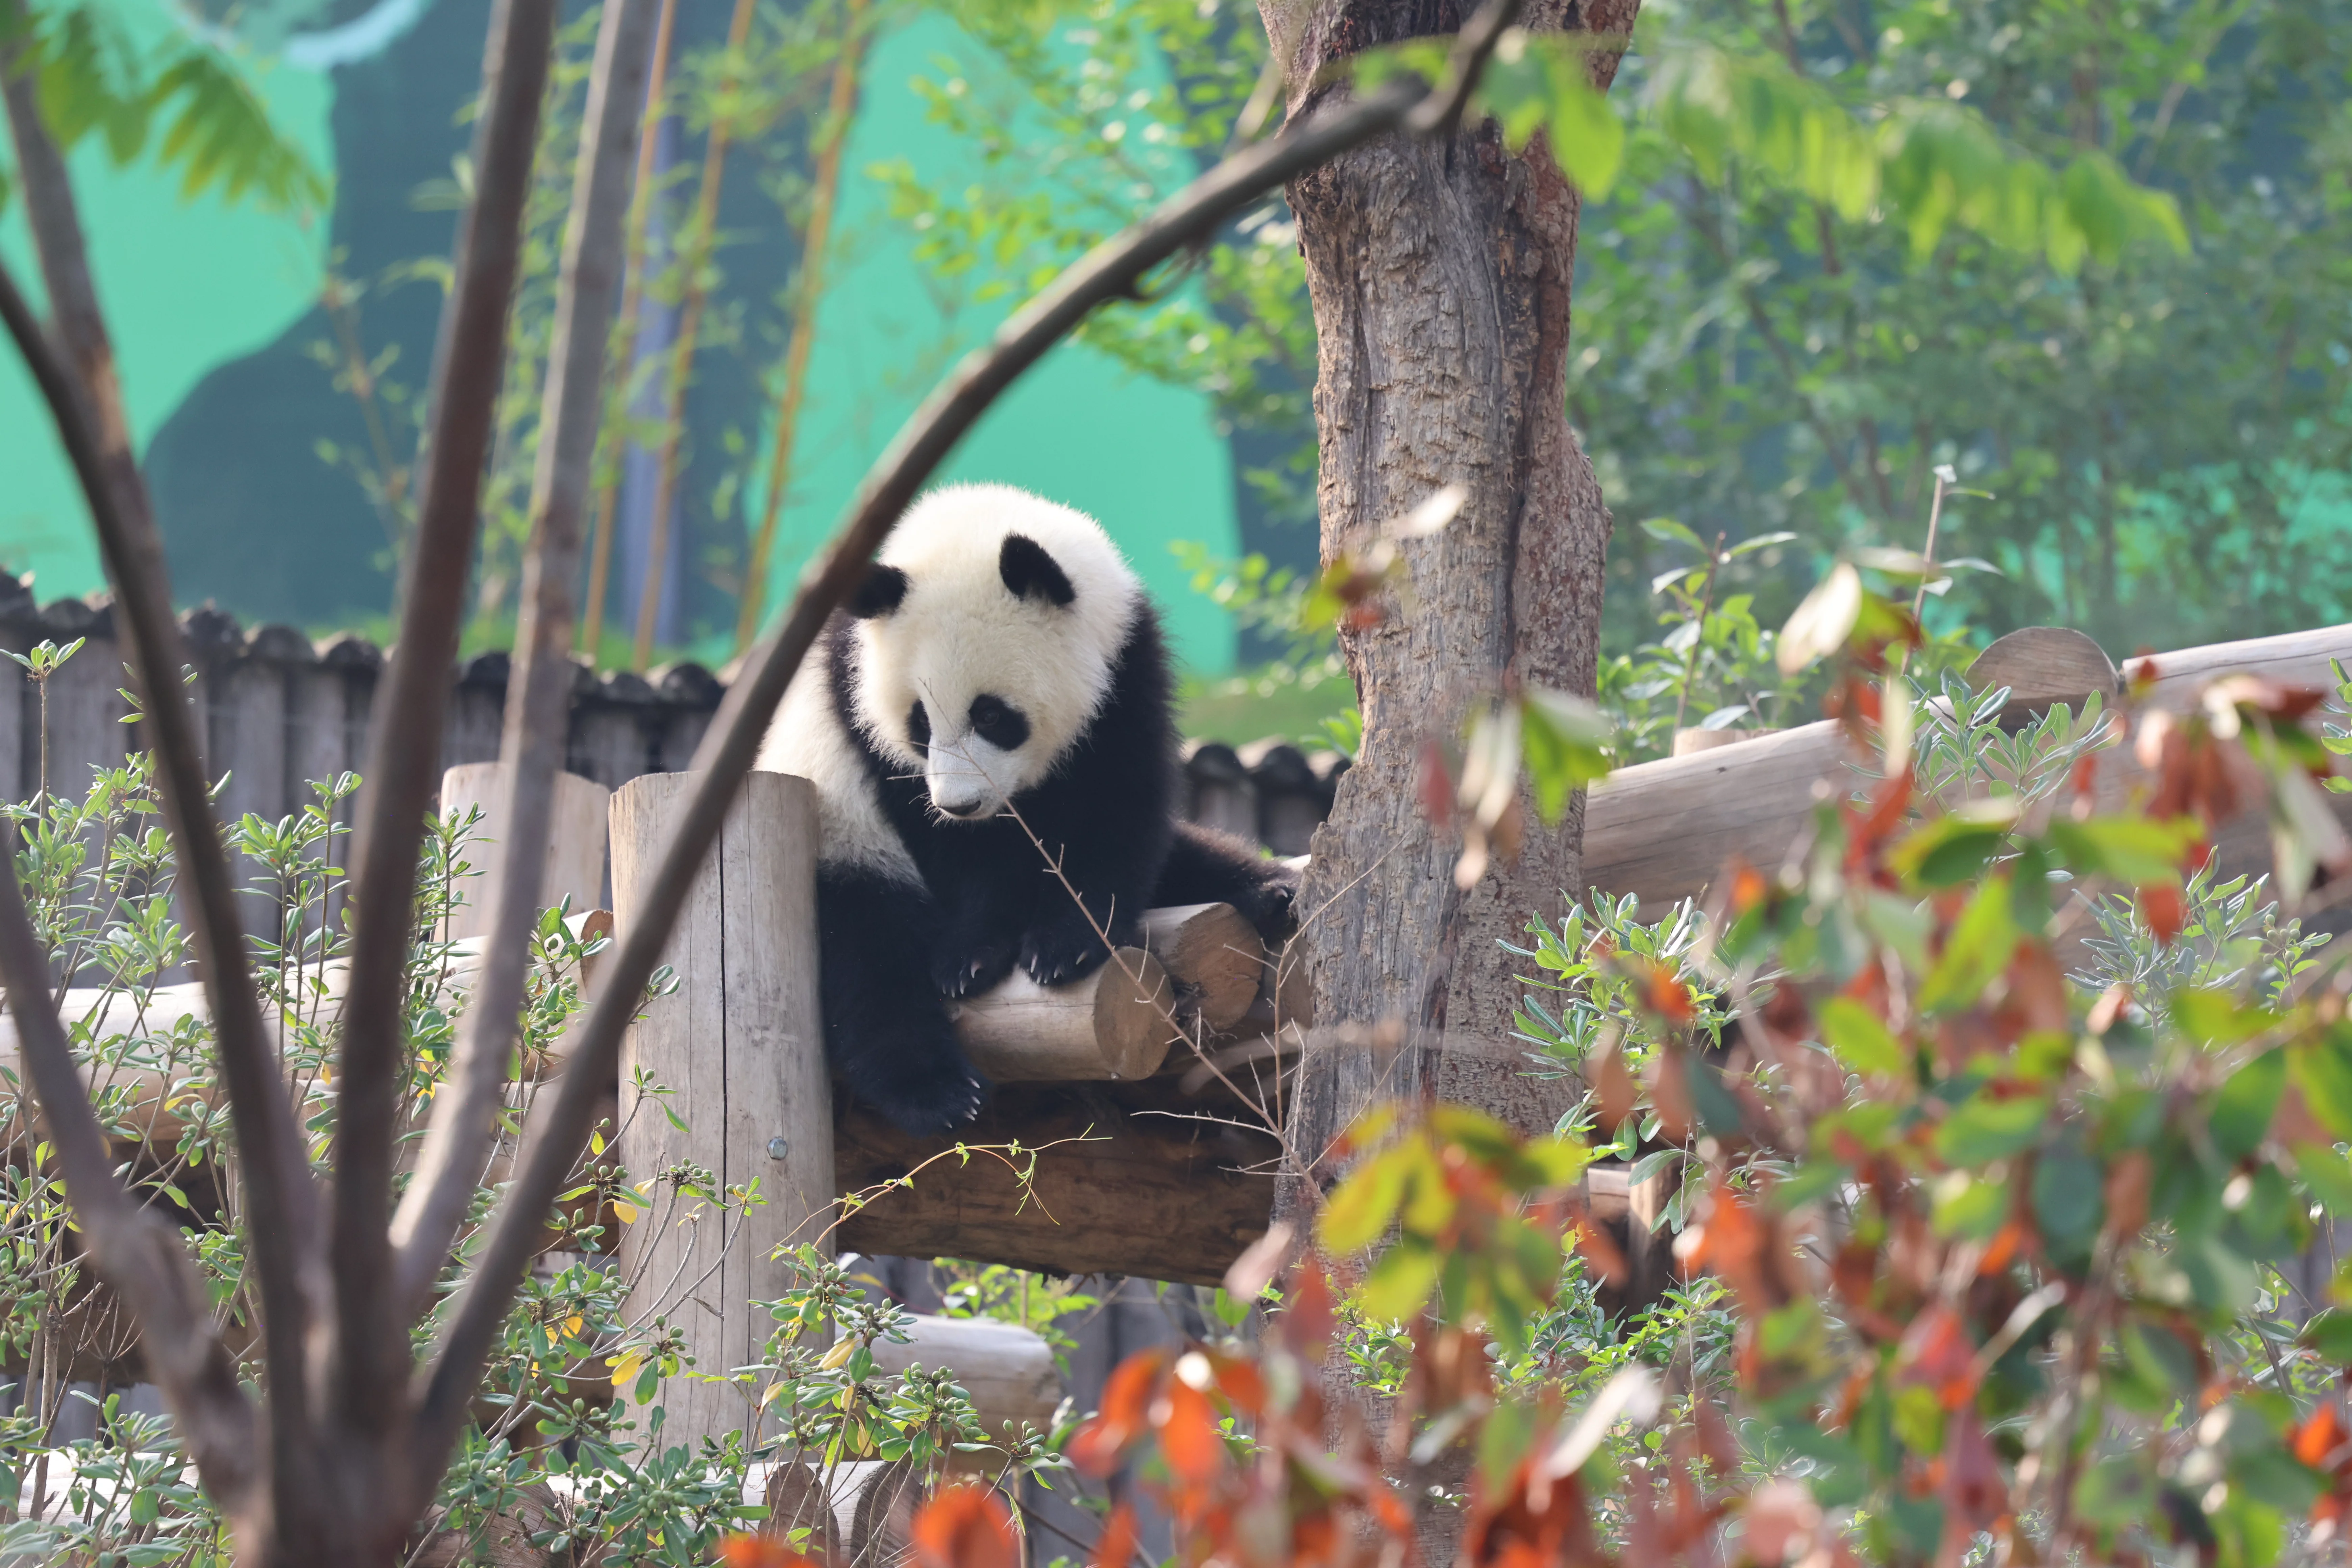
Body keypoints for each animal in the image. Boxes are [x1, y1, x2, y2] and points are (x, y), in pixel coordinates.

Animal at [756, 483, 1301, 1135]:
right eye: (920, 723)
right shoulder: (861, 717)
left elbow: (1118, 809)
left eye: (991, 714)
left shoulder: (1124, 673)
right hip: (841, 836)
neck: (969, 523)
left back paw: (1269, 894)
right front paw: (971, 958)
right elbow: (955, 856)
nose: (961, 803)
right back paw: (940, 1094)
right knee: (869, 956)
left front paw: (1065, 944)